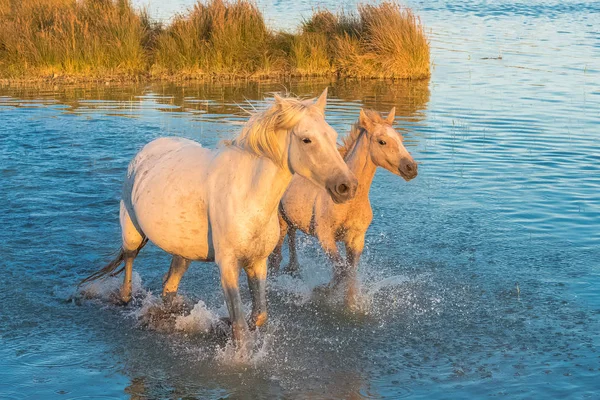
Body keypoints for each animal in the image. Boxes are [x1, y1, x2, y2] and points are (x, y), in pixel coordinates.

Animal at [79, 90, 356, 344]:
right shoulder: (227, 265)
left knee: (169, 286)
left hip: (183, 252)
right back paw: (126, 298)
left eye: (332, 136)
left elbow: (258, 316)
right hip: (132, 234)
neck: (248, 197)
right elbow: (240, 327)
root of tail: (146, 151)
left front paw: (221, 324)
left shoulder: (257, 263)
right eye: (306, 139)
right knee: (129, 263)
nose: (347, 187)